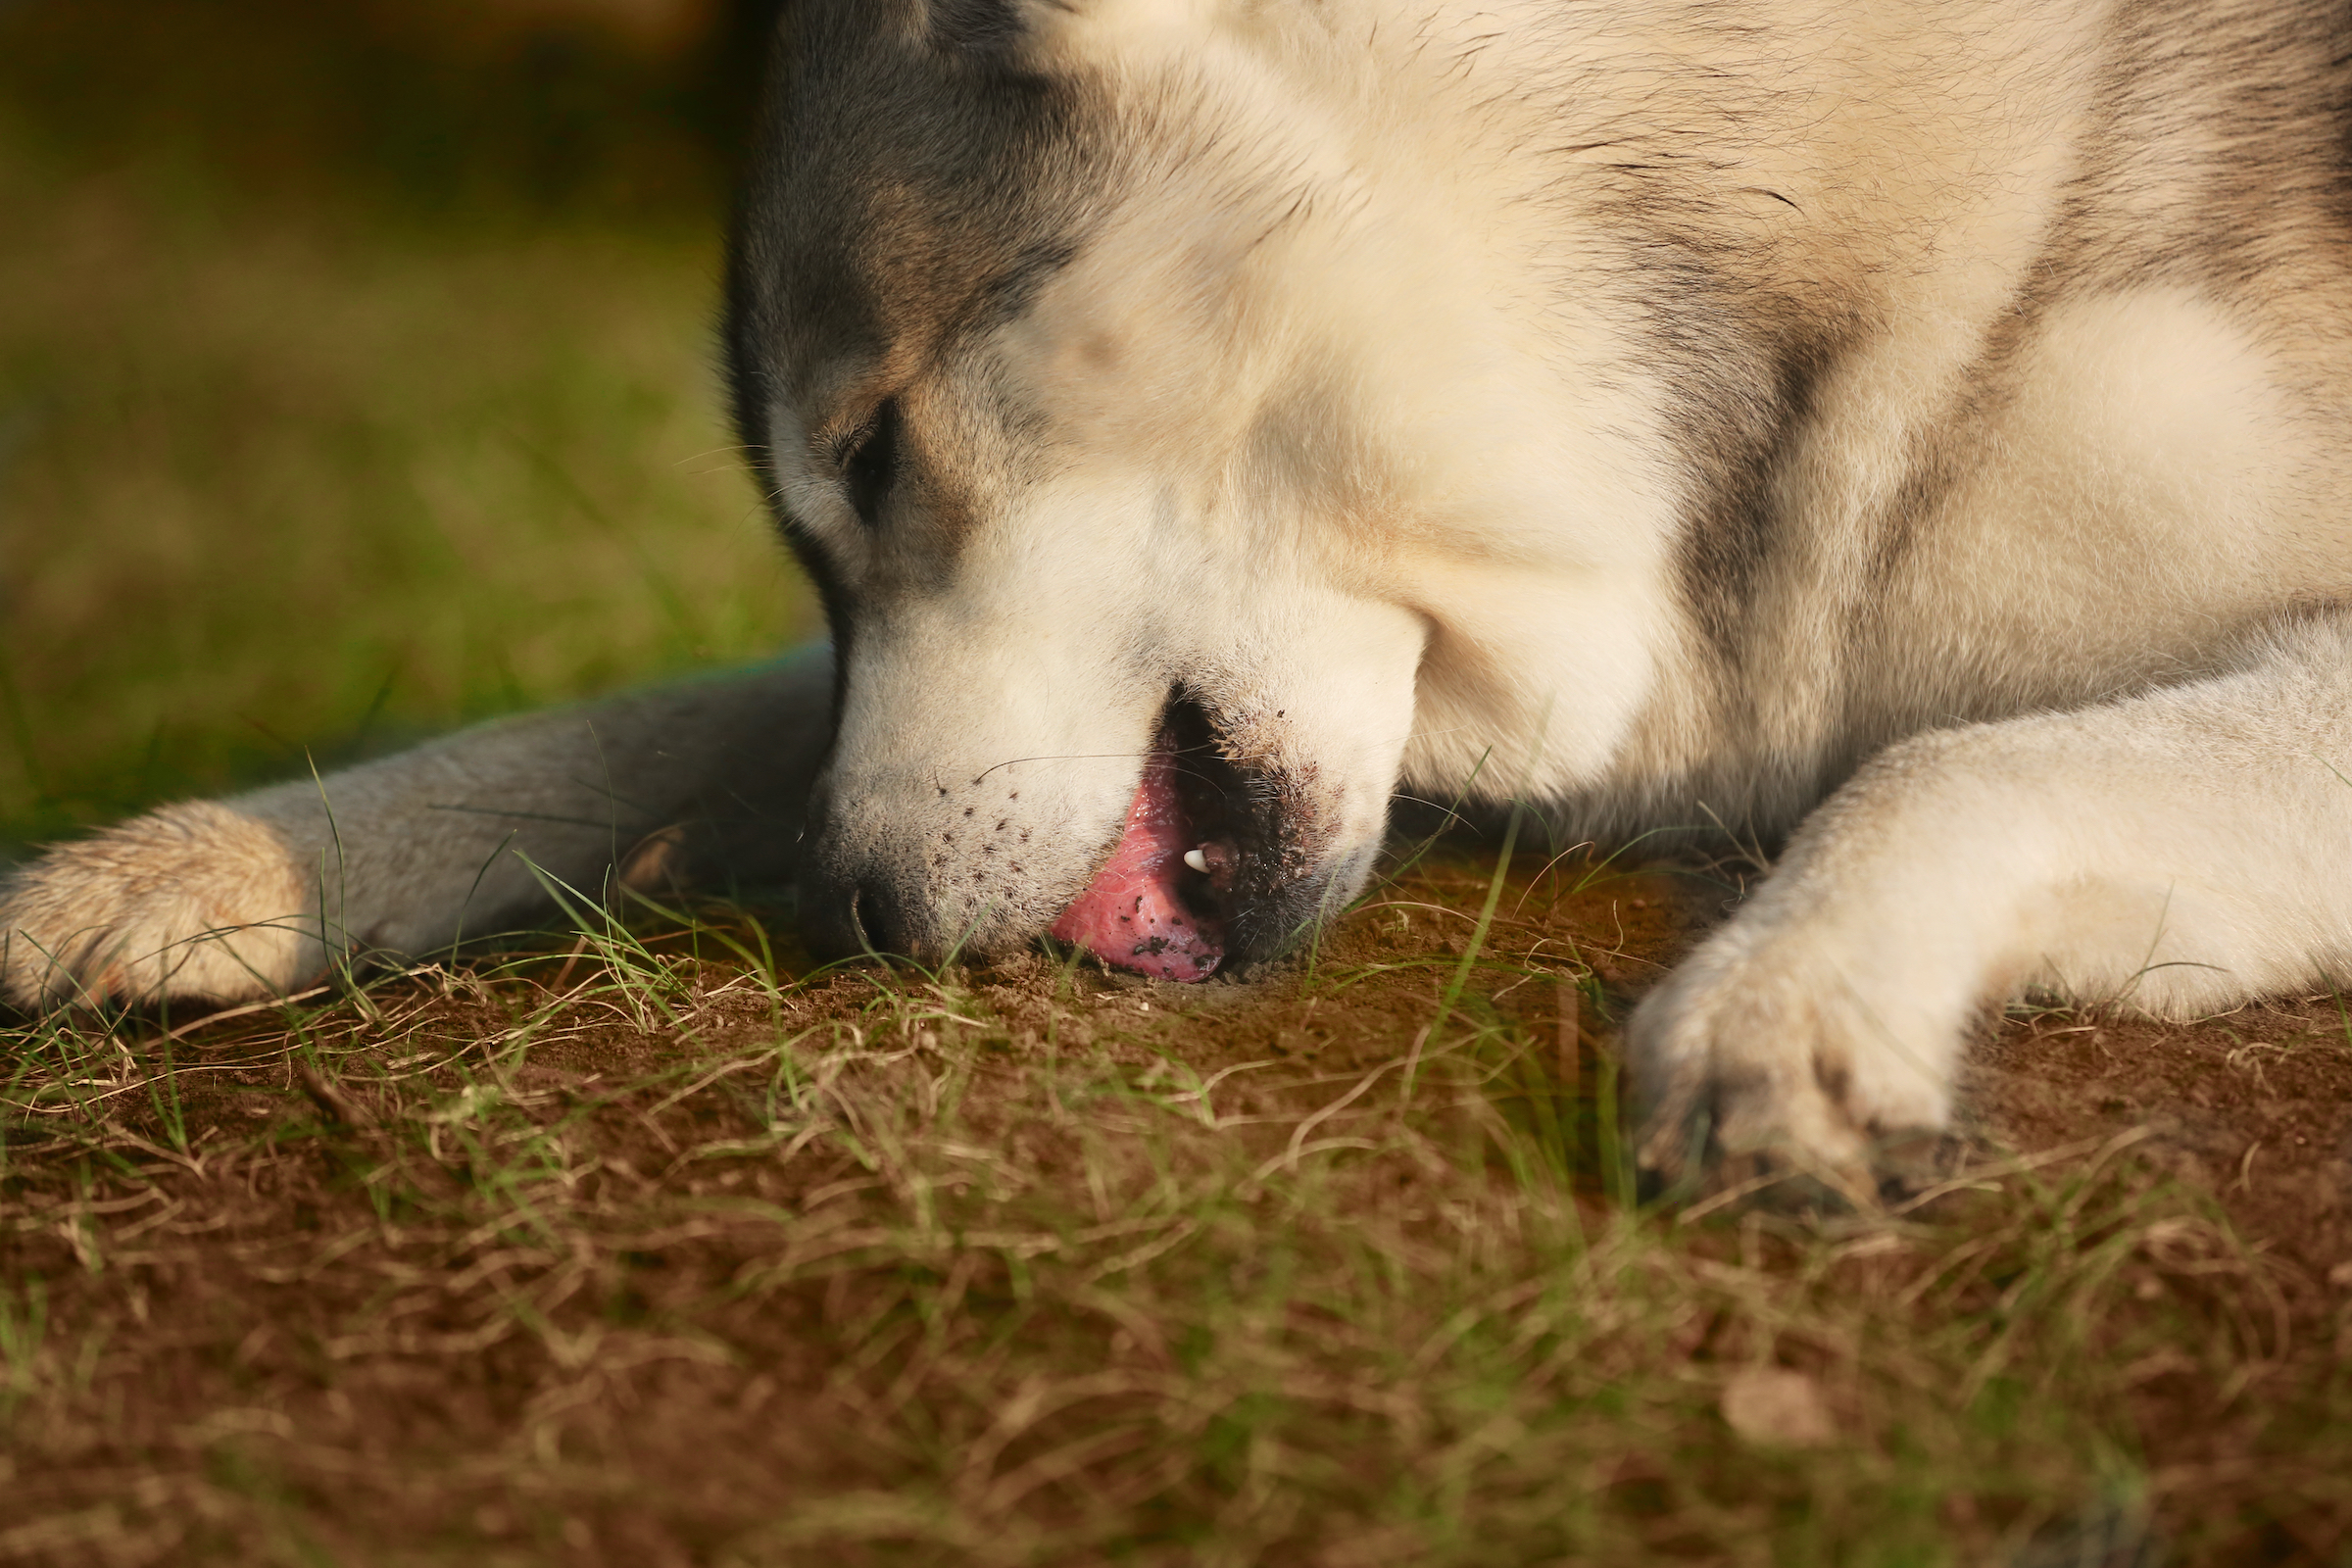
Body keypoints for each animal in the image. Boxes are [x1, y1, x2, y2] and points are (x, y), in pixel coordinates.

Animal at [14, 0, 2352, 1189]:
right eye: (822, 522)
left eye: (873, 452)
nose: (850, 909)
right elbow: (644, 716)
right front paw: (193, 863)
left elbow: (1949, 763)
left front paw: (1797, 1004)